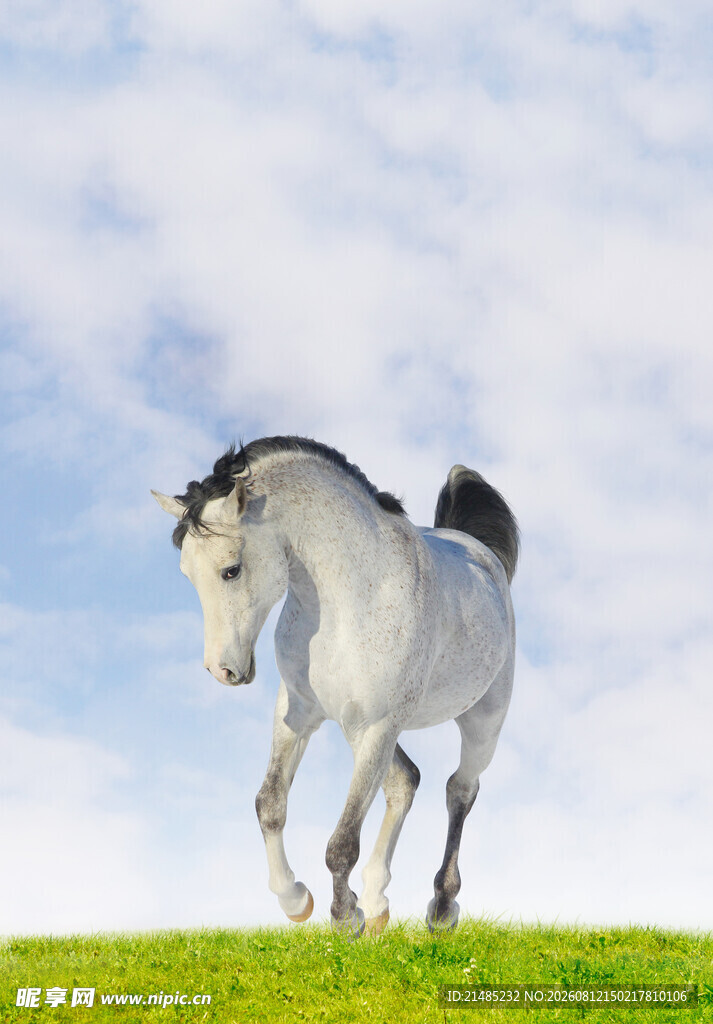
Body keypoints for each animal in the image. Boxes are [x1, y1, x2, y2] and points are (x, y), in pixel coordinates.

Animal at [152, 436, 518, 937]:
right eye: (188, 574)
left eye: (231, 570)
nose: (222, 670)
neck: (352, 596)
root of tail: (482, 553)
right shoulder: (299, 712)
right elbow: (270, 804)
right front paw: (296, 900)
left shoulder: (378, 726)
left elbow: (342, 842)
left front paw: (345, 918)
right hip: (358, 730)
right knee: (405, 782)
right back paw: (379, 901)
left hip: (480, 722)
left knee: (460, 791)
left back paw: (441, 907)